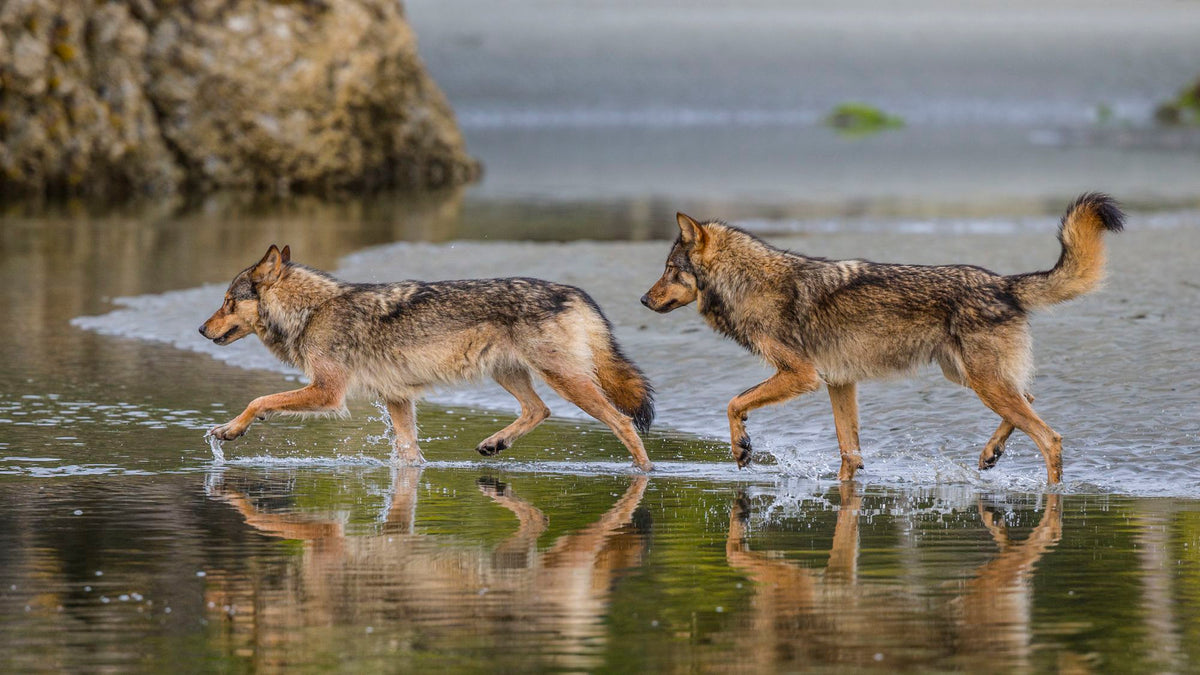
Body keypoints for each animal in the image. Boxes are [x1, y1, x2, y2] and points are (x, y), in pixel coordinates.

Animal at [199, 245, 655, 470]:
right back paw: (495, 442)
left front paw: (229, 430)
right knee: (538, 410)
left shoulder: (328, 392)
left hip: (565, 381)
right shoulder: (397, 398)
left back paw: (645, 473)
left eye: (226, 301)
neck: (312, 311)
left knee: (622, 422)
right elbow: (409, 453)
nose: (201, 330)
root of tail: (576, 292)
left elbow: (260, 401)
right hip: (510, 374)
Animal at [641, 193, 1124, 483]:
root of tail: (1003, 282)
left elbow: (733, 402)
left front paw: (742, 449)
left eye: (669, 270)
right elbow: (849, 453)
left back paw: (1052, 496)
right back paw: (991, 453)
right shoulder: (838, 383)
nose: (643, 300)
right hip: (972, 379)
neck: (748, 283)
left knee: (1050, 437)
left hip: (983, 384)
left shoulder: (802, 375)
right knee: (1032, 402)